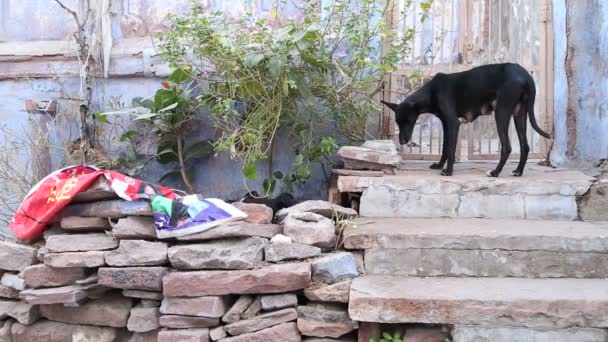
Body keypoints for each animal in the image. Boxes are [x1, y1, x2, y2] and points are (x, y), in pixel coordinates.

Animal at [384, 62, 552, 178]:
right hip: (519, 114)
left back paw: (495, 172)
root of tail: (526, 75)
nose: (402, 141)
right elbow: (445, 148)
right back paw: (518, 171)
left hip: (501, 112)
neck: (432, 91)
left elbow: (450, 150)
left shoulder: (453, 123)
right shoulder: (446, 124)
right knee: (525, 146)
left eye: (408, 121)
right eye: (398, 122)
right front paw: (439, 165)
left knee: (507, 147)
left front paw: (448, 171)